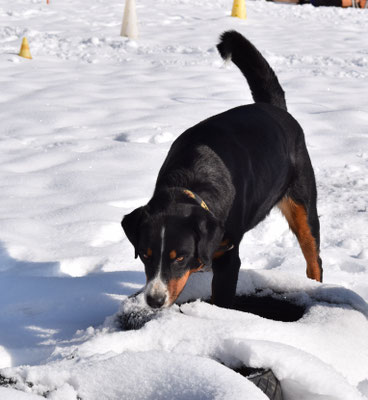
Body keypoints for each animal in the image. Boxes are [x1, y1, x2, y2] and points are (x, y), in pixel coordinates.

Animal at [121, 31, 322, 310]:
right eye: (144, 255)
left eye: (180, 257)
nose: (154, 300)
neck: (193, 179)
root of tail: (276, 108)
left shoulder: (228, 257)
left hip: (303, 205)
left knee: (314, 256)